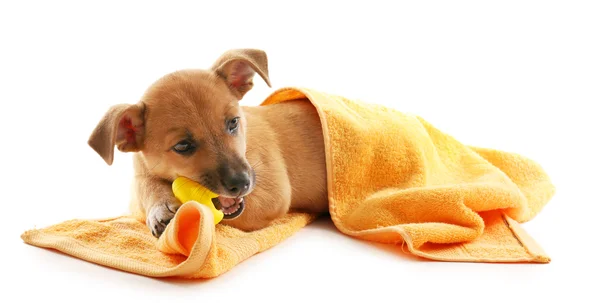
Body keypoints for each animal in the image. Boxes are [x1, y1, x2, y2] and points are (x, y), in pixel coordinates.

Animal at [88, 48, 328, 238]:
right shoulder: (139, 176)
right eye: (182, 146)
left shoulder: (271, 195)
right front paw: (160, 208)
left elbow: (205, 214)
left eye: (233, 122)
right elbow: (146, 185)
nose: (242, 184)